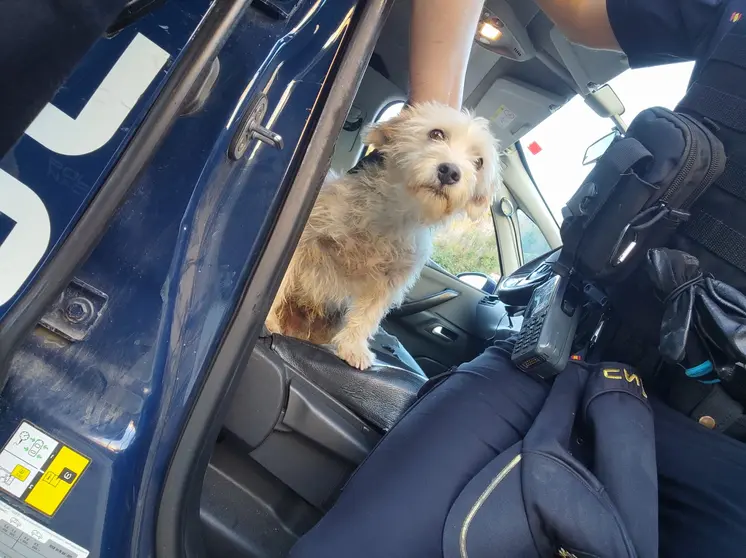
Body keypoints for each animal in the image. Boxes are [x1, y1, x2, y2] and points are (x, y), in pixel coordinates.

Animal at [264, 103, 496, 370]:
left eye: (479, 162)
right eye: (436, 134)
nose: (450, 171)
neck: (392, 212)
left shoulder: (389, 280)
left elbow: (367, 314)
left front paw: (353, 347)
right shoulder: (307, 237)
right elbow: (283, 278)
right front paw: (268, 318)